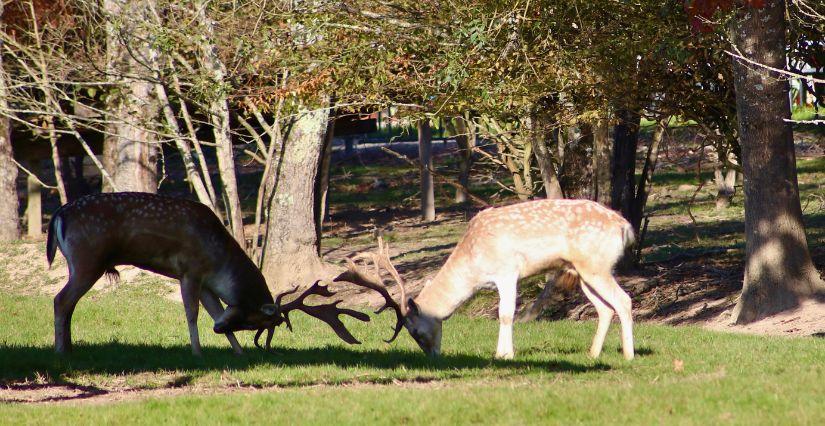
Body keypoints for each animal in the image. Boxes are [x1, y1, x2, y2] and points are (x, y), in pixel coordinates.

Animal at [47, 193, 396, 356]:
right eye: (258, 320)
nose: (218, 331)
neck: (219, 261)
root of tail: (58, 215)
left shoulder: (205, 282)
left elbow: (214, 309)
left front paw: (238, 352)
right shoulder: (188, 269)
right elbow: (191, 313)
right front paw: (198, 352)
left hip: (81, 263)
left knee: (66, 303)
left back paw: (70, 347)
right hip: (87, 259)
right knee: (60, 300)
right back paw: (62, 350)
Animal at [336, 199, 636, 360]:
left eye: (415, 331)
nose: (433, 357)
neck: (474, 265)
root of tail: (625, 226)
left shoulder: (507, 271)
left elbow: (505, 314)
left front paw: (504, 354)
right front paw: (504, 352)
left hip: (596, 264)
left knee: (624, 300)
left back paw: (628, 355)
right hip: (583, 271)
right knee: (605, 308)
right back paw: (592, 354)